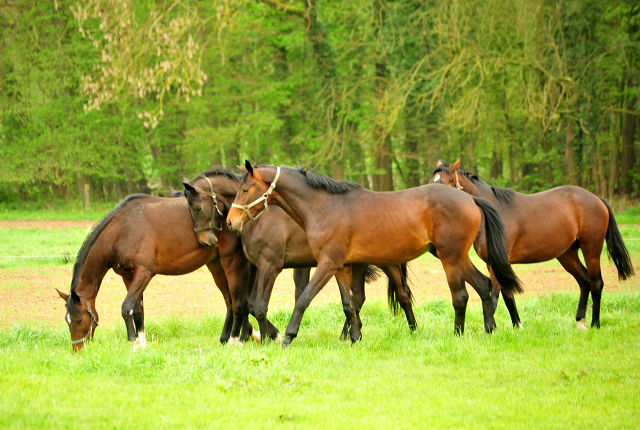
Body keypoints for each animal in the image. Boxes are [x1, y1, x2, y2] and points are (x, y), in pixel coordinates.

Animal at [182, 168, 418, 342]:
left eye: (197, 208)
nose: (205, 239)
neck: (262, 219)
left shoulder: (270, 266)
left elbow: (258, 306)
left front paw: (272, 336)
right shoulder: (257, 266)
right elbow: (251, 304)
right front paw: (262, 336)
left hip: (386, 262)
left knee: (402, 293)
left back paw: (413, 329)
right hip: (356, 263)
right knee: (358, 298)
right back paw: (348, 334)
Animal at [228, 161, 524, 346]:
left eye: (245, 189)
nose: (231, 222)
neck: (324, 206)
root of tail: (470, 198)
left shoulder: (326, 264)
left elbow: (304, 299)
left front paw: (288, 337)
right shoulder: (341, 266)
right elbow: (349, 303)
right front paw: (355, 337)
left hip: (450, 257)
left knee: (460, 295)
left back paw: (458, 334)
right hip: (455, 256)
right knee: (484, 285)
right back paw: (489, 329)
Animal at [428, 159, 632, 330]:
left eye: (445, 183)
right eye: (431, 182)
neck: (494, 212)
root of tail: (597, 199)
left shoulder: (497, 263)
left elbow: (495, 295)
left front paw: (491, 327)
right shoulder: (495, 264)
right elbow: (508, 295)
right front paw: (516, 325)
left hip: (592, 249)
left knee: (596, 283)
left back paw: (595, 324)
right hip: (567, 254)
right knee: (584, 281)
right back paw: (580, 321)